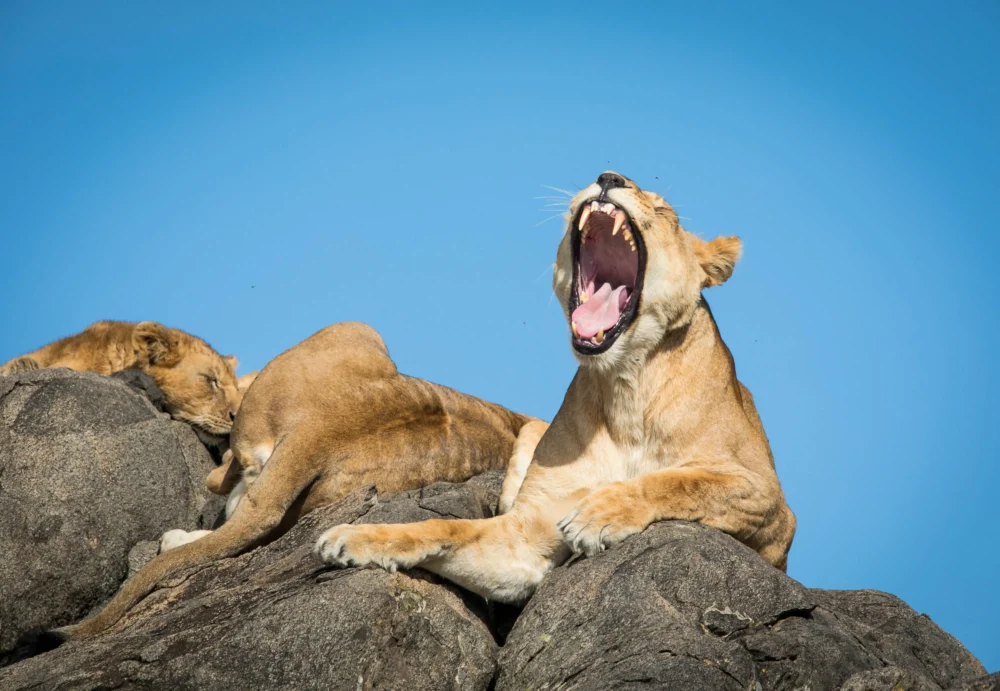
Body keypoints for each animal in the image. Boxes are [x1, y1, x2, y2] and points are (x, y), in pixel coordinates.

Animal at [315, 171, 796, 604]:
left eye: (666, 212)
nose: (610, 177)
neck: (625, 386)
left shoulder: (769, 501)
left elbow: (675, 482)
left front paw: (599, 513)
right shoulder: (526, 538)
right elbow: (444, 527)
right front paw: (354, 537)